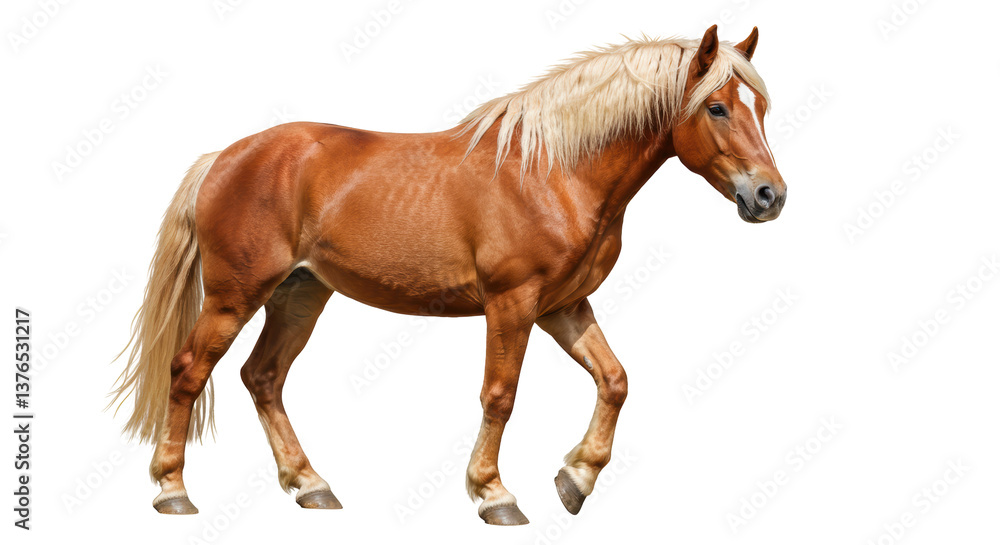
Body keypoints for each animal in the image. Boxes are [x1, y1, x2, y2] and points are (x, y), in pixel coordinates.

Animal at [110, 24, 785, 525]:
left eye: (761, 106)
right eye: (717, 107)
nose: (769, 196)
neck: (554, 171)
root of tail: (224, 157)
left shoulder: (563, 307)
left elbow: (615, 380)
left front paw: (576, 478)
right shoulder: (512, 304)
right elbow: (500, 395)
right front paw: (493, 494)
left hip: (301, 294)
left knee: (263, 377)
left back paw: (310, 485)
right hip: (236, 295)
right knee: (189, 371)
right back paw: (172, 491)